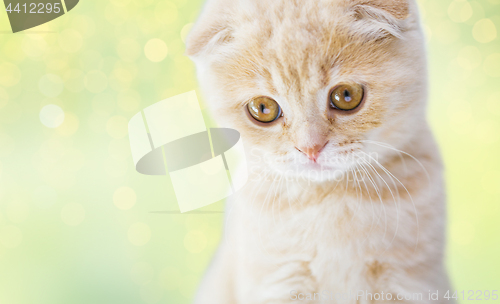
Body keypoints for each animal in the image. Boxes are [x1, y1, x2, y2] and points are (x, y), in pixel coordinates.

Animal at [187, 0, 454, 302]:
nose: (310, 147)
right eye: (263, 108)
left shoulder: (411, 282)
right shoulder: (276, 283)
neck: (332, 200)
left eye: (346, 95)